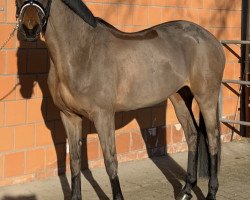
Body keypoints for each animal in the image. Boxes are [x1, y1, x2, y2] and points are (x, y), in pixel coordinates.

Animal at [15, 0, 227, 199]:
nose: (30, 29)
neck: (82, 52)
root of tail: (212, 40)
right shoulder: (69, 116)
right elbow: (74, 162)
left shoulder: (103, 116)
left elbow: (110, 161)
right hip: (179, 97)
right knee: (192, 135)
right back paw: (186, 190)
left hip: (206, 98)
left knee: (213, 138)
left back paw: (211, 192)